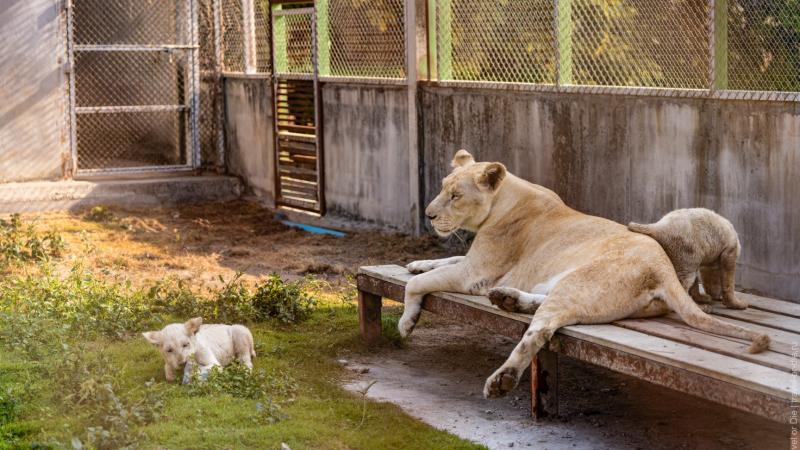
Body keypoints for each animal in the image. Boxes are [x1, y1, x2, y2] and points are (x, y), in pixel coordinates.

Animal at [401, 149, 769, 399]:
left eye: (456, 195)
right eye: (443, 188)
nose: (429, 214)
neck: (505, 198)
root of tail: (663, 266)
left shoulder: (475, 273)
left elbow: (420, 284)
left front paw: (407, 322)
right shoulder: (472, 263)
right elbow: (444, 260)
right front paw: (416, 263)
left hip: (574, 283)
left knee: (539, 330)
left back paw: (502, 379)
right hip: (567, 285)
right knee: (544, 307)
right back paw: (507, 299)